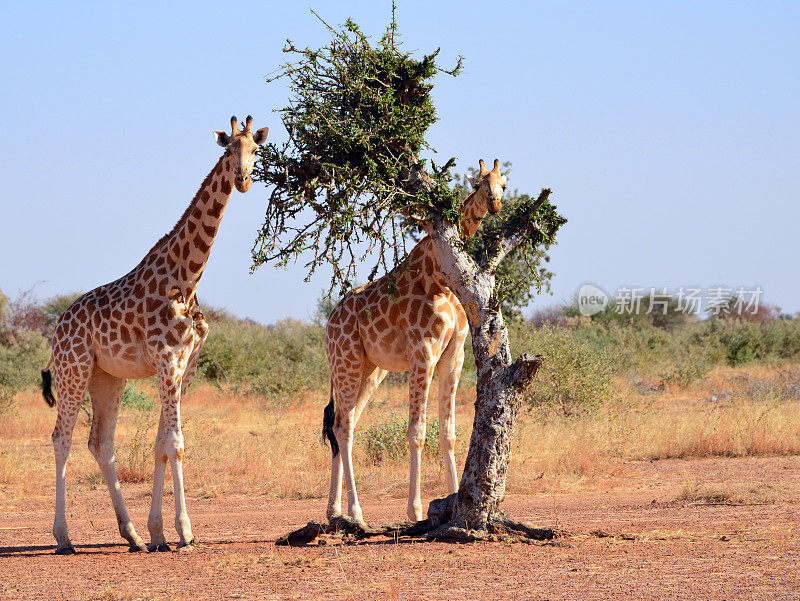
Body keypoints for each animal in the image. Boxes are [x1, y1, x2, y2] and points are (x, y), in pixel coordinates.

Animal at [39, 115, 268, 552]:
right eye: (228, 149)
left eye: (255, 150)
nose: (243, 179)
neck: (188, 277)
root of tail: (58, 327)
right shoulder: (165, 358)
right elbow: (175, 444)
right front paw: (185, 531)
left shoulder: (185, 365)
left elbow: (163, 444)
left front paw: (159, 532)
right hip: (73, 370)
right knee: (61, 438)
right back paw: (63, 537)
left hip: (107, 378)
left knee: (100, 443)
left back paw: (131, 535)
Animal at [320, 158, 504, 520]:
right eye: (477, 183)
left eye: (503, 184)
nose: (493, 204)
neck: (441, 279)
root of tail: (330, 322)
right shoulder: (423, 352)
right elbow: (417, 433)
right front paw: (416, 511)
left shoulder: (454, 355)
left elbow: (448, 433)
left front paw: (453, 498)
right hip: (346, 362)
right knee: (343, 425)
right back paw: (355, 510)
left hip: (370, 369)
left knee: (343, 423)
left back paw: (335, 510)